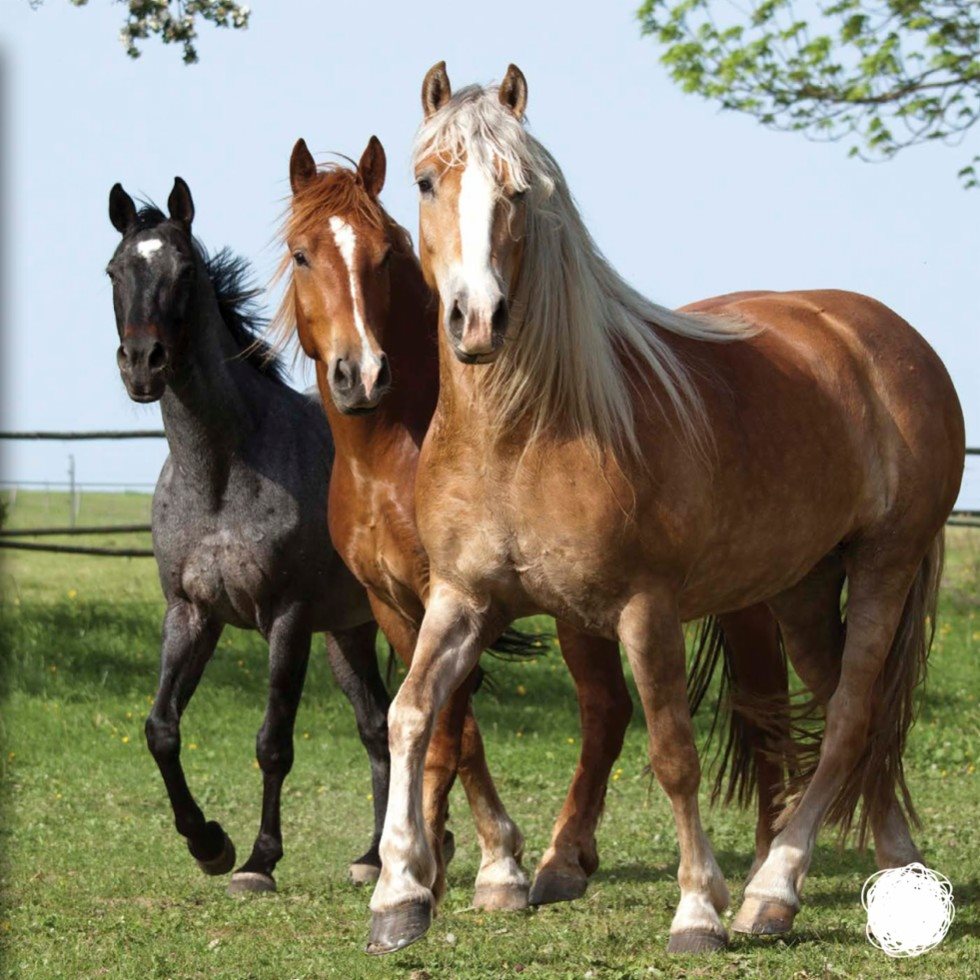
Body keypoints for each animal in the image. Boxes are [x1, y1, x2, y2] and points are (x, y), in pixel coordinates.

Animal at [108, 176, 394, 896]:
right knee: (380, 725)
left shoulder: (286, 619)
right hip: (349, 634)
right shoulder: (191, 613)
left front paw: (259, 861)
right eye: (116, 270)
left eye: (185, 271)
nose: (143, 364)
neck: (221, 472)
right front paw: (209, 843)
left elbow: (273, 742)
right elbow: (160, 728)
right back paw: (374, 856)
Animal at [278, 134, 804, 936]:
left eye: (385, 255)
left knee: (740, 704)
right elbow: (437, 724)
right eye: (303, 254)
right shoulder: (395, 604)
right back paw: (576, 858)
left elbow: (453, 728)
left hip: (729, 599)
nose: (360, 374)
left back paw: (759, 861)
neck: (390, 453)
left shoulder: (447, 593)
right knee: (625, 710)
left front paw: (481, 861)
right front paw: (431, 860)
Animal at [362, 65, 964, 952]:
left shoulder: (647, 610)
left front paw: (698, 910)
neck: (524, 434)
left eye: (519, 190)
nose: (478, 321)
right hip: (804, 587)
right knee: (840, 715)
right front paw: (400, 892)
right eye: (427, 182)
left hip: (885, 564)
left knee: (851, 716)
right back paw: (890, 876)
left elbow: (674, 753)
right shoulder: (460, 599)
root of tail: (892, 341)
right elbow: (411, 714)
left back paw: (769, 891)